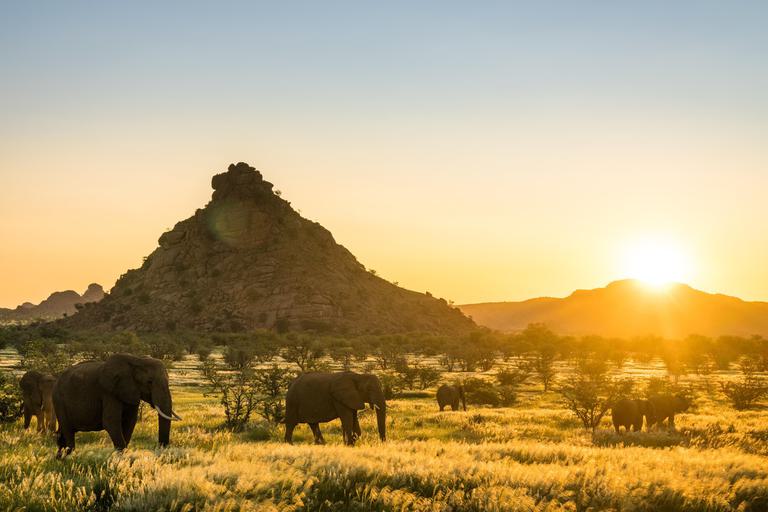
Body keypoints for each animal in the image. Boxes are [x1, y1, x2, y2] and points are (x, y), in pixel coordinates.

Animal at [52, 353, 181, 457]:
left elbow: (130, 422)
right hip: (59, 400)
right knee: (68, 430)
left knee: (63, 432)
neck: (137, 360)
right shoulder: (109, 392)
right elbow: (111, 422)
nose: (160, 449)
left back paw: (60, 458)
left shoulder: (131, 392)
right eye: (149, 382)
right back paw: (69, 457)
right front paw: (121, 458)